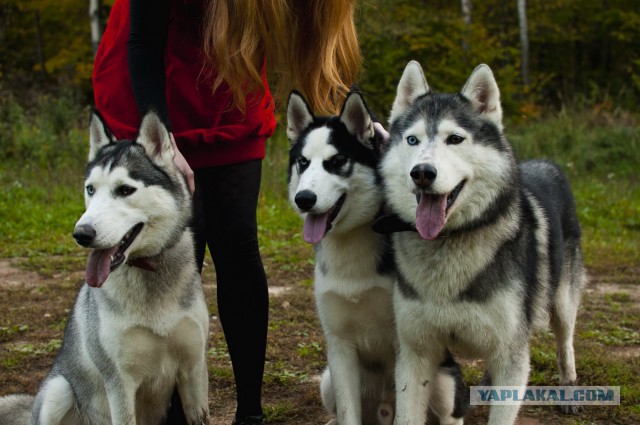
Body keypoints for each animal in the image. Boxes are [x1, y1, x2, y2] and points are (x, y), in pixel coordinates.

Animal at [0, 111, 210, 422]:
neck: (147, 272)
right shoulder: (119, 383)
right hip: (58, 390)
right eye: (90, 189)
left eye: (125, 190)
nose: (81, 234)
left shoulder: (193, 370)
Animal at [288, 91, 468, 422]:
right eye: (302, 162)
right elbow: (348, 413)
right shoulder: (339, 347)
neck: (350, 246)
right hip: (327, 381)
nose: (303, 199)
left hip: (444, 377)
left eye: (337, 161)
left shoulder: (405, 344)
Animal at [378, 60, 588, 424]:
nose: (422, 173)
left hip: (562, 302)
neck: (446, 245)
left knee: (565, 344)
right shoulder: (415, 352)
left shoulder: (511, 355)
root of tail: (546, 163)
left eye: (455, 139)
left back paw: (569, 389)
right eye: (412, 139)